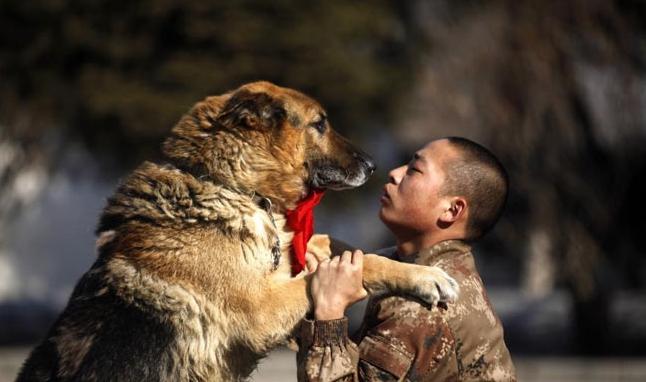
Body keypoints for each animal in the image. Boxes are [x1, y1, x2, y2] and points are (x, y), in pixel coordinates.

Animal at [17, 82, 458, 380]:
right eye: (319, 124)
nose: (373, 165)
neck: (228, 184)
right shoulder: (262, 309)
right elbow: (357, 264)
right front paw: (428, 277)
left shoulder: (287, 254)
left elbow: (339, 245)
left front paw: (411, 265)